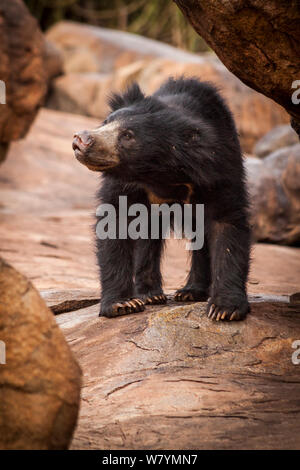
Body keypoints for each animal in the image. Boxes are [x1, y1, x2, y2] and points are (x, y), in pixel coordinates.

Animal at [72, 78, 251, 320]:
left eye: (127, 135)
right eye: (106, 122)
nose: (81, 139)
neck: (159, 174)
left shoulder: (219, 170)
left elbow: (227, 225)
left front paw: (224, 309)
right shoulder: (125, 184)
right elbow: (115, 223)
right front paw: (122, 304)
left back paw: (190, 292)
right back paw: (151, 294)